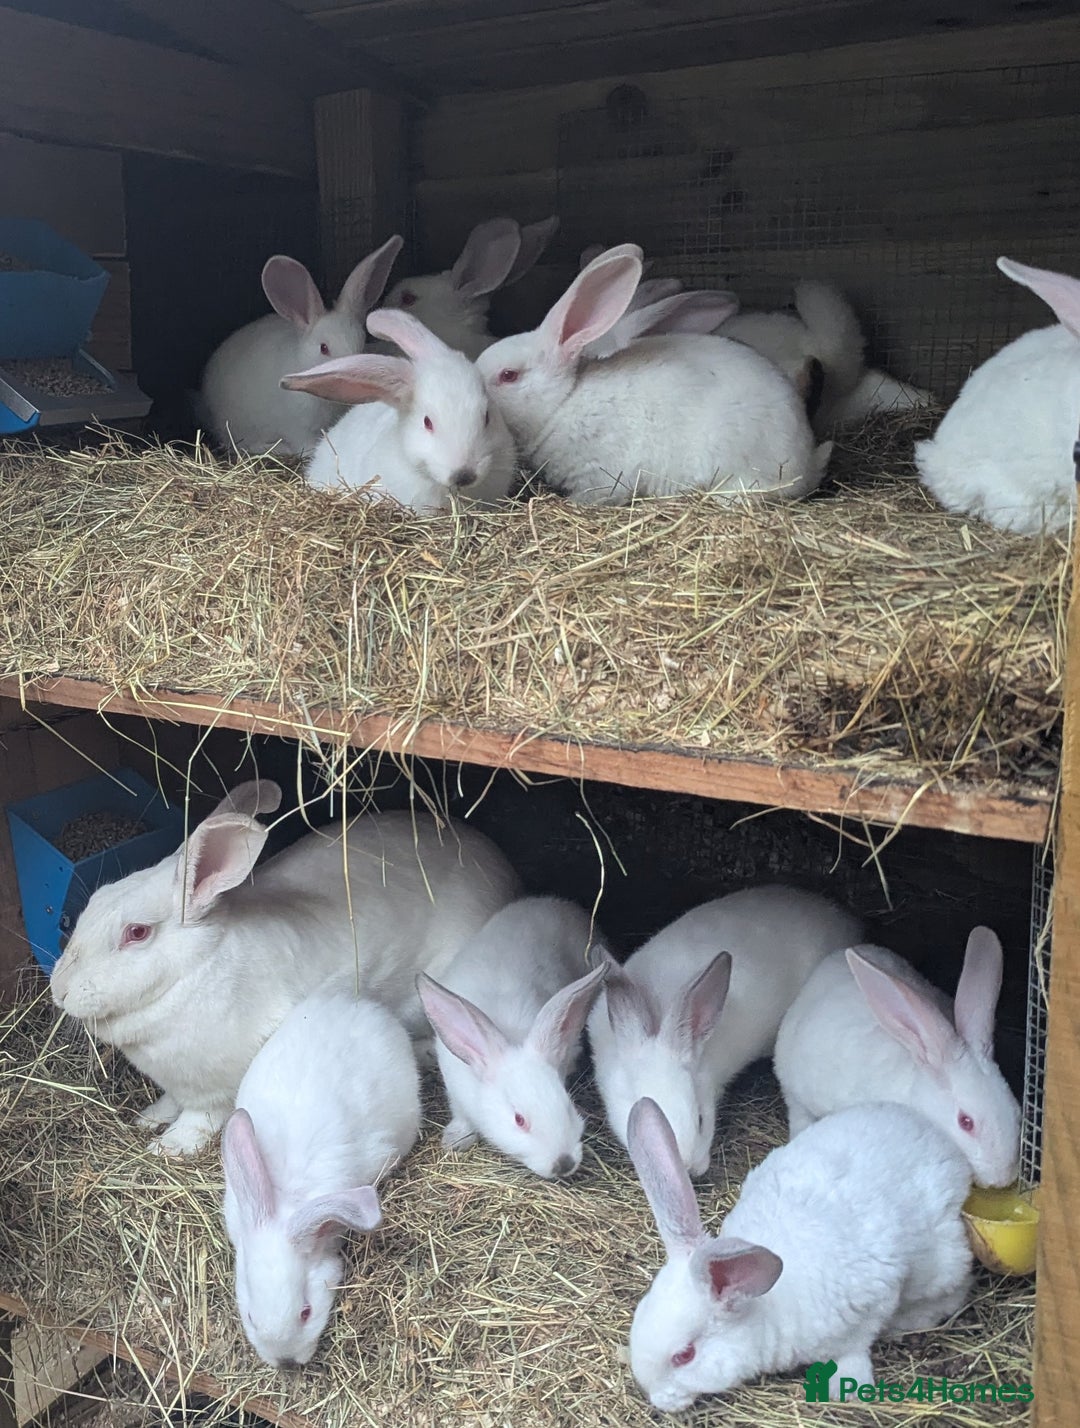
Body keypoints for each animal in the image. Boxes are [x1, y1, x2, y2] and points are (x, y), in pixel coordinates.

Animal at [49, 778, 521, 1155]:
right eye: (95, 901)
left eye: (137, 933)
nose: (59, 991)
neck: (194, 974)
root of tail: (501, 864)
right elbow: (170, 1102)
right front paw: (148, 1118)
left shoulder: (214, 1091)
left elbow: (201, 1118)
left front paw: (170, 1146)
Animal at [416, 896, 608, 1178]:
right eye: (519, 1120)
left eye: (567, 1105)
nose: (563, 1163)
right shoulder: (455, 1089)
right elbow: (461, 1117)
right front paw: (455, 1140)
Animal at [626, 1096, 973, 1412]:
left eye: (684, 1355)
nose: (657, 1401)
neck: (764, 1306)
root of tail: (939, 1139)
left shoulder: (869, 1306)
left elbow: (856, 1346)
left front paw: (847, 1387)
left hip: (941, 1264)